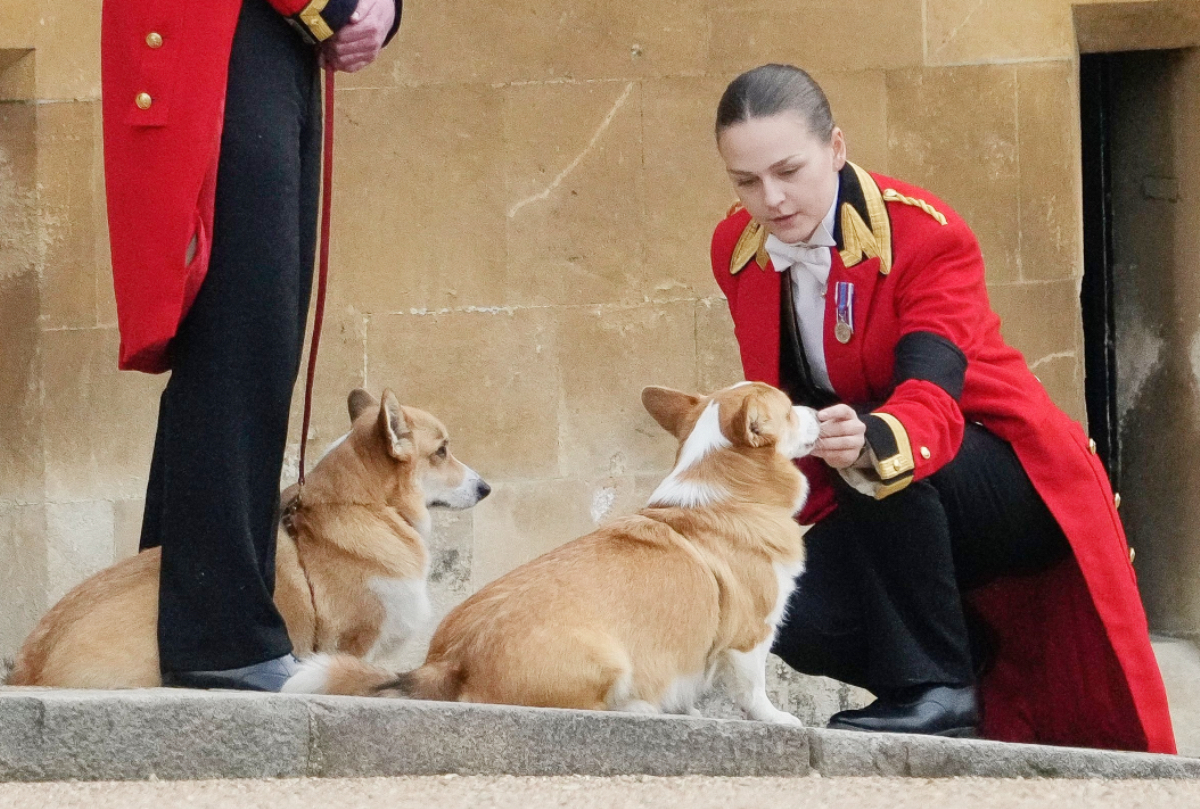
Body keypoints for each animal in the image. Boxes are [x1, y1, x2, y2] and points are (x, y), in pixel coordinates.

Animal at [285, 381, 820, 720]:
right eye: (790, 409)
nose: (820, 411)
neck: (728, 492)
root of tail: (447, 664)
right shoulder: (752, 633)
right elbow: (753, 687)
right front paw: (777, 719)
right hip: (609, 658)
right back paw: (641, 706)